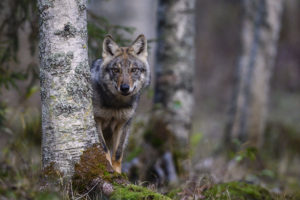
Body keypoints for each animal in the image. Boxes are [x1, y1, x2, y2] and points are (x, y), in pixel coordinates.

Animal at [89, 34, 149, 173]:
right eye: (116, 70)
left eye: (134, 70)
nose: (125, 88)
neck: (116, 104)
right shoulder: (96, 120)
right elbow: (104, 149)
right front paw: (107, 168)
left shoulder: (123, 124)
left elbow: (117, 153)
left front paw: (117, 172)